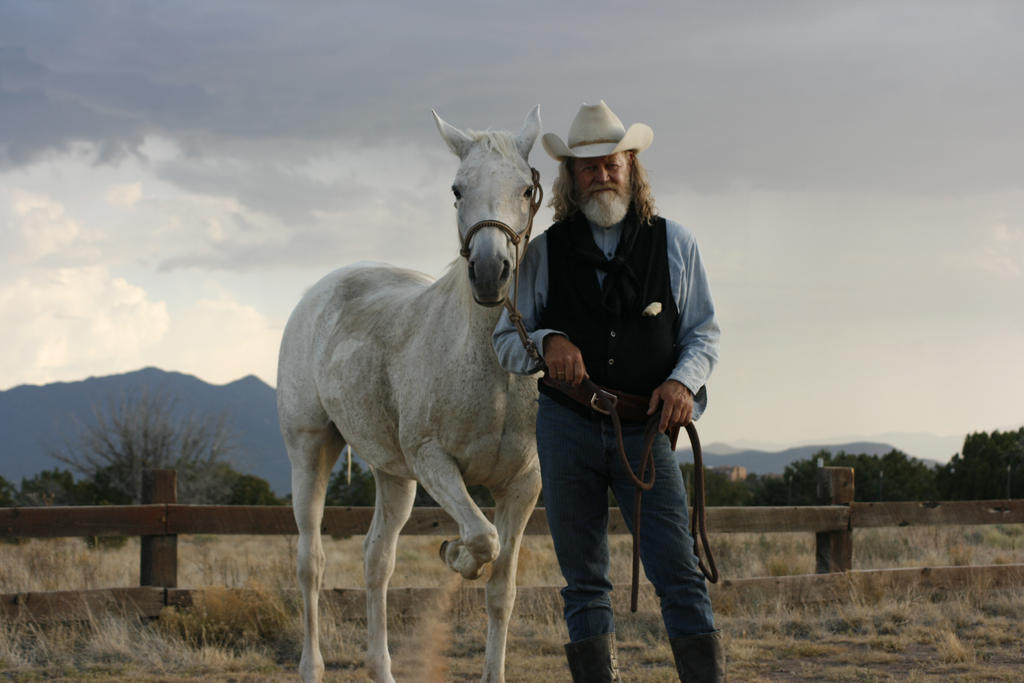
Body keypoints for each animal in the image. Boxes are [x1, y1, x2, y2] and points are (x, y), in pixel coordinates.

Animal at [276, 106, 544, 683]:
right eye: (457, 189)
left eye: (525, 188)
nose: (489, 272)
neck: (495, 371)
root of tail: (321, 290)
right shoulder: (434, 461)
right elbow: (481, 538)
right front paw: (453, 553)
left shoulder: (523, 485)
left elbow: (501, 590)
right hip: (310, 448)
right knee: (311, 563)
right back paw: (312, 667)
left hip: (393, 475)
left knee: (377, 560)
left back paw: (382, 668)